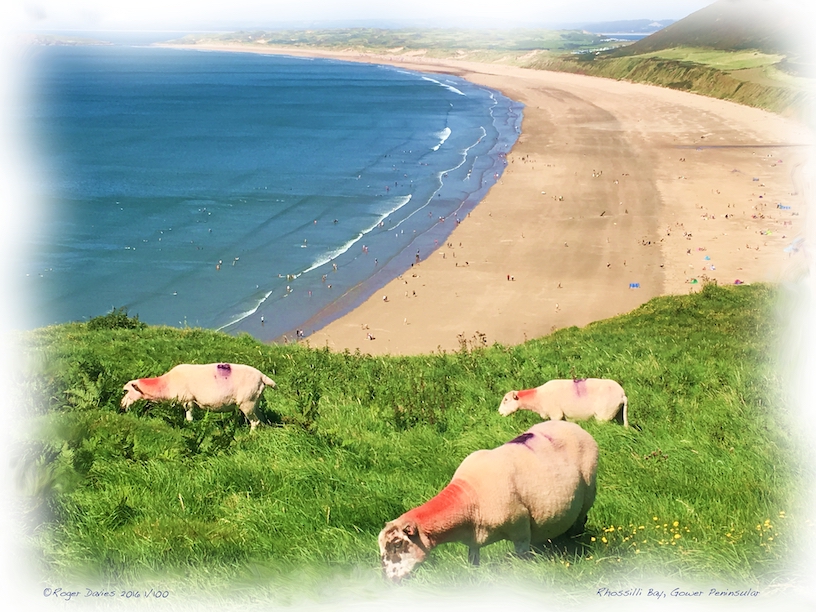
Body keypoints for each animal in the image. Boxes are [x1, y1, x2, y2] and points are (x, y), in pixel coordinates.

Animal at [119, 364, 276, 430]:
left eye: (127, 391)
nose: (121, 405)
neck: (166, 384)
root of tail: (262, 377)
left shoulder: (187, 400)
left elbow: (189, 417)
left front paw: (189, 426)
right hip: (255, 400)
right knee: (261, 419)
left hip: (247, 402)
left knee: (255, 422)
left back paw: (250, 437)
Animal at [378, 420, 600, 584]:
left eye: (397, 544)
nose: (388, 581)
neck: (469, 499)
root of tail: (572, 425)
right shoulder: (473, 541)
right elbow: (473, 563)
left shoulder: (520, 530)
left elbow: (521, 559)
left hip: (588, 492)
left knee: (580, 521)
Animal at [498, 376, 632, 428]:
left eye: (506, 400)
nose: (499, 413)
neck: (537, 398)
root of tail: (622, 395)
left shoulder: (555, 414)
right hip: (617, 413)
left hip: (603, 414)